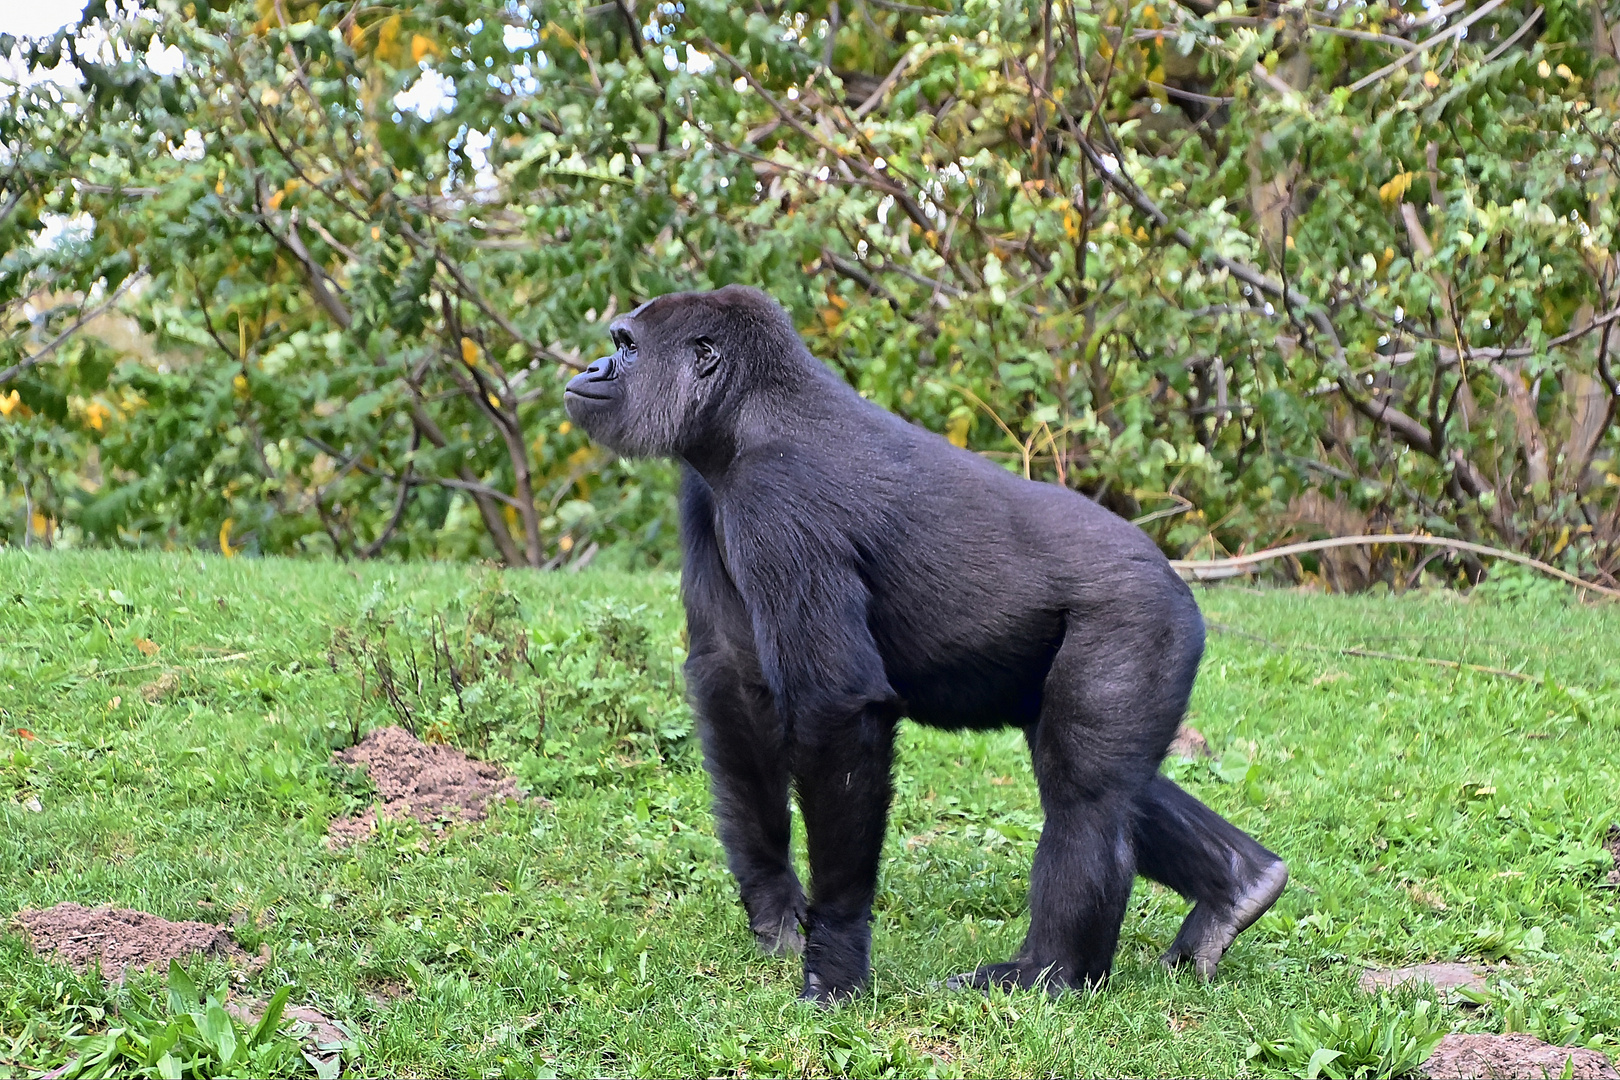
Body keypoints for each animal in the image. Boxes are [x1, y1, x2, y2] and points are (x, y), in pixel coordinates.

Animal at [563, 283, 1283, 1003]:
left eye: (627, 347)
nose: (592, 369)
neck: (748, 409)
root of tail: (1179, 585)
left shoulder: (777, 501)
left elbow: (837, 710)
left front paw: (835, 955)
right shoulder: (706, 487)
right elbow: (732, 679)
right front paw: (773, 903)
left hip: (1141, 620)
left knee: (1085, 793)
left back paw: (1051, 971)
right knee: (1105, 777)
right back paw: (1238, 886)